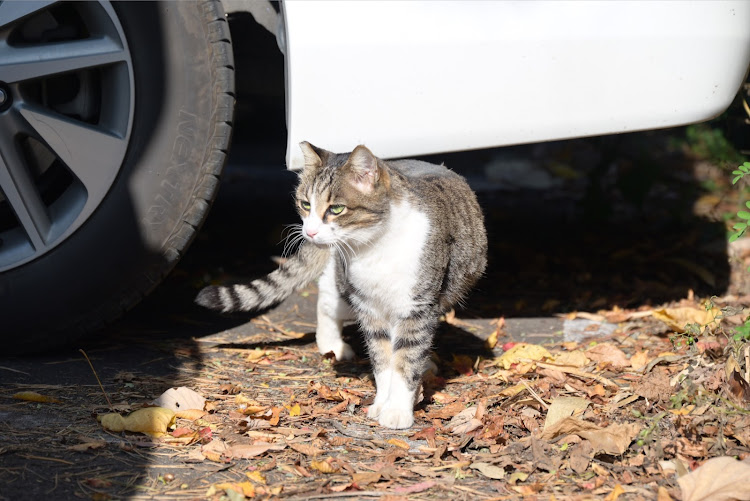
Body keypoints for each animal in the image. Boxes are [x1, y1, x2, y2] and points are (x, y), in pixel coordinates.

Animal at [195, 143, 488, 428]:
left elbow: (406, 360)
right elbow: (383, 361)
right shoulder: (369, 309)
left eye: (336, 209)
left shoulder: (417, 307)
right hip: (346, 290)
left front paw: (396, 409)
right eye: (305, 204)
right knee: (326, 298)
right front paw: (383, 404)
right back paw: (331, 344)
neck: (374, 247)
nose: (309, 232)